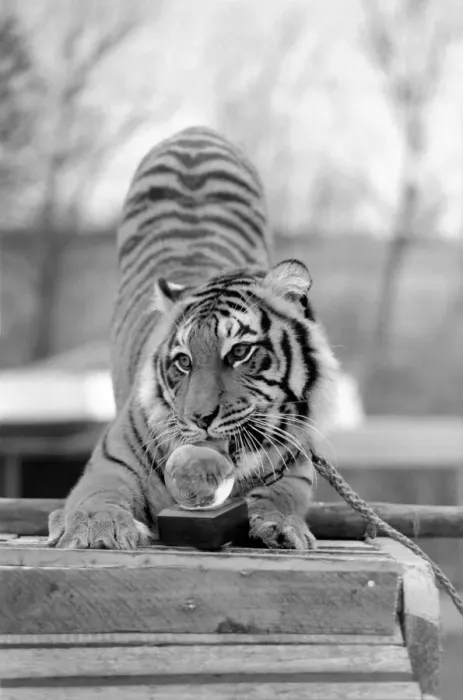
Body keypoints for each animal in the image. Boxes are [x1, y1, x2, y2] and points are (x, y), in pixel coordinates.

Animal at [48, 126, 339, 551]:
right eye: (183, 361)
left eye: (240, 352)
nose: (200, 419)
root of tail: (196, 132)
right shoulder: (111, 461)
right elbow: (98, 496)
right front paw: (97, 530)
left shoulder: (298, 463)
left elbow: (280, 495)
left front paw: (281, 526)